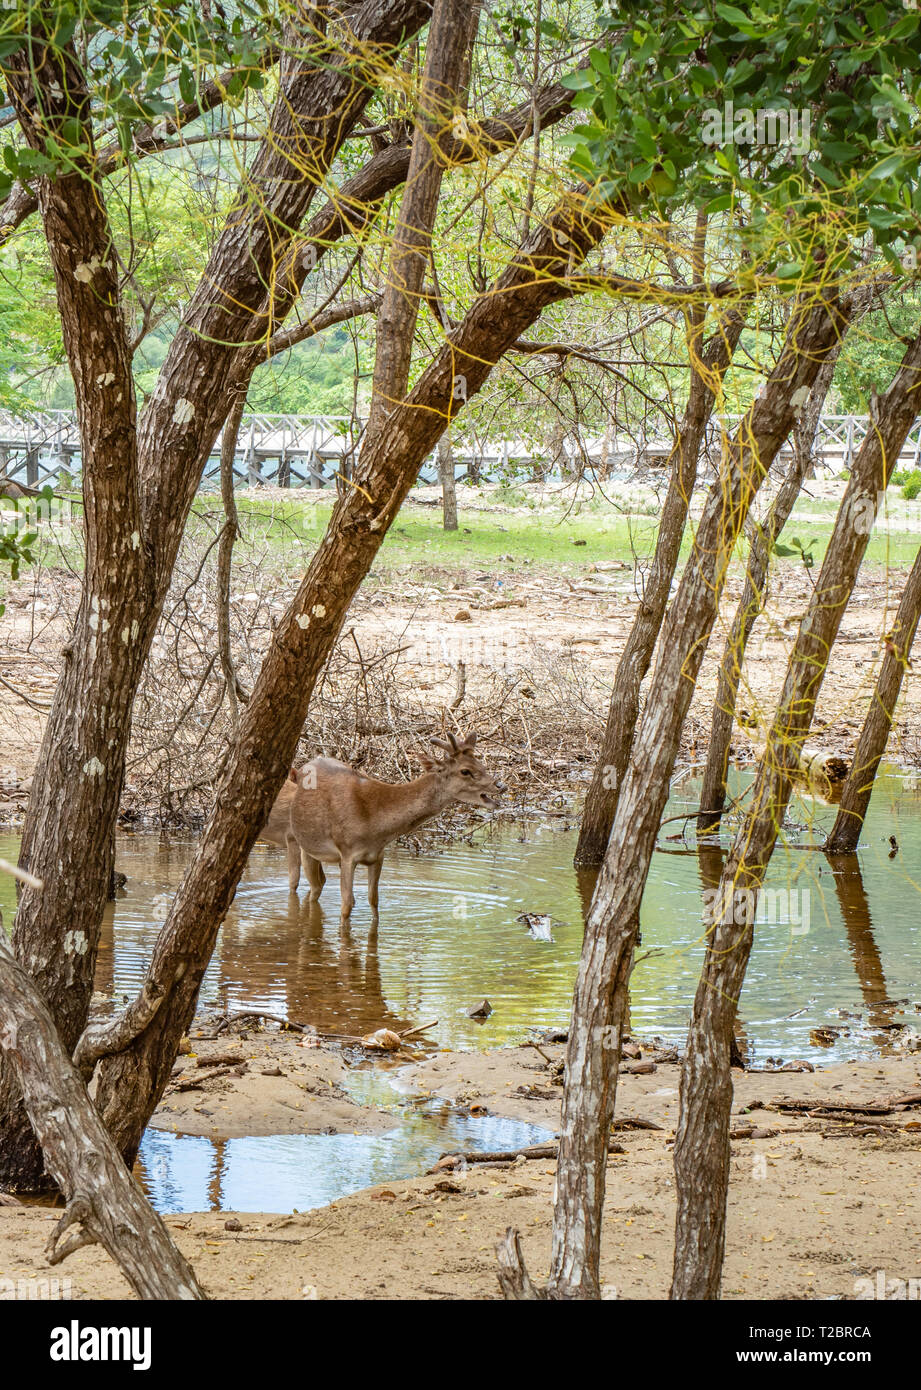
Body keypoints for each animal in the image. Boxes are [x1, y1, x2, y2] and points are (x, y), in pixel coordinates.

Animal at [256, 733, 505, 928]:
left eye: (481, 764)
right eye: (465, 771)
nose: (500, 785)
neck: (374, 822)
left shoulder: (377, 856)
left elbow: (373, 900)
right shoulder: (347, 853)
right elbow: (346, 904)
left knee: (316, 885)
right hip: (304, 844)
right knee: (305, 886)